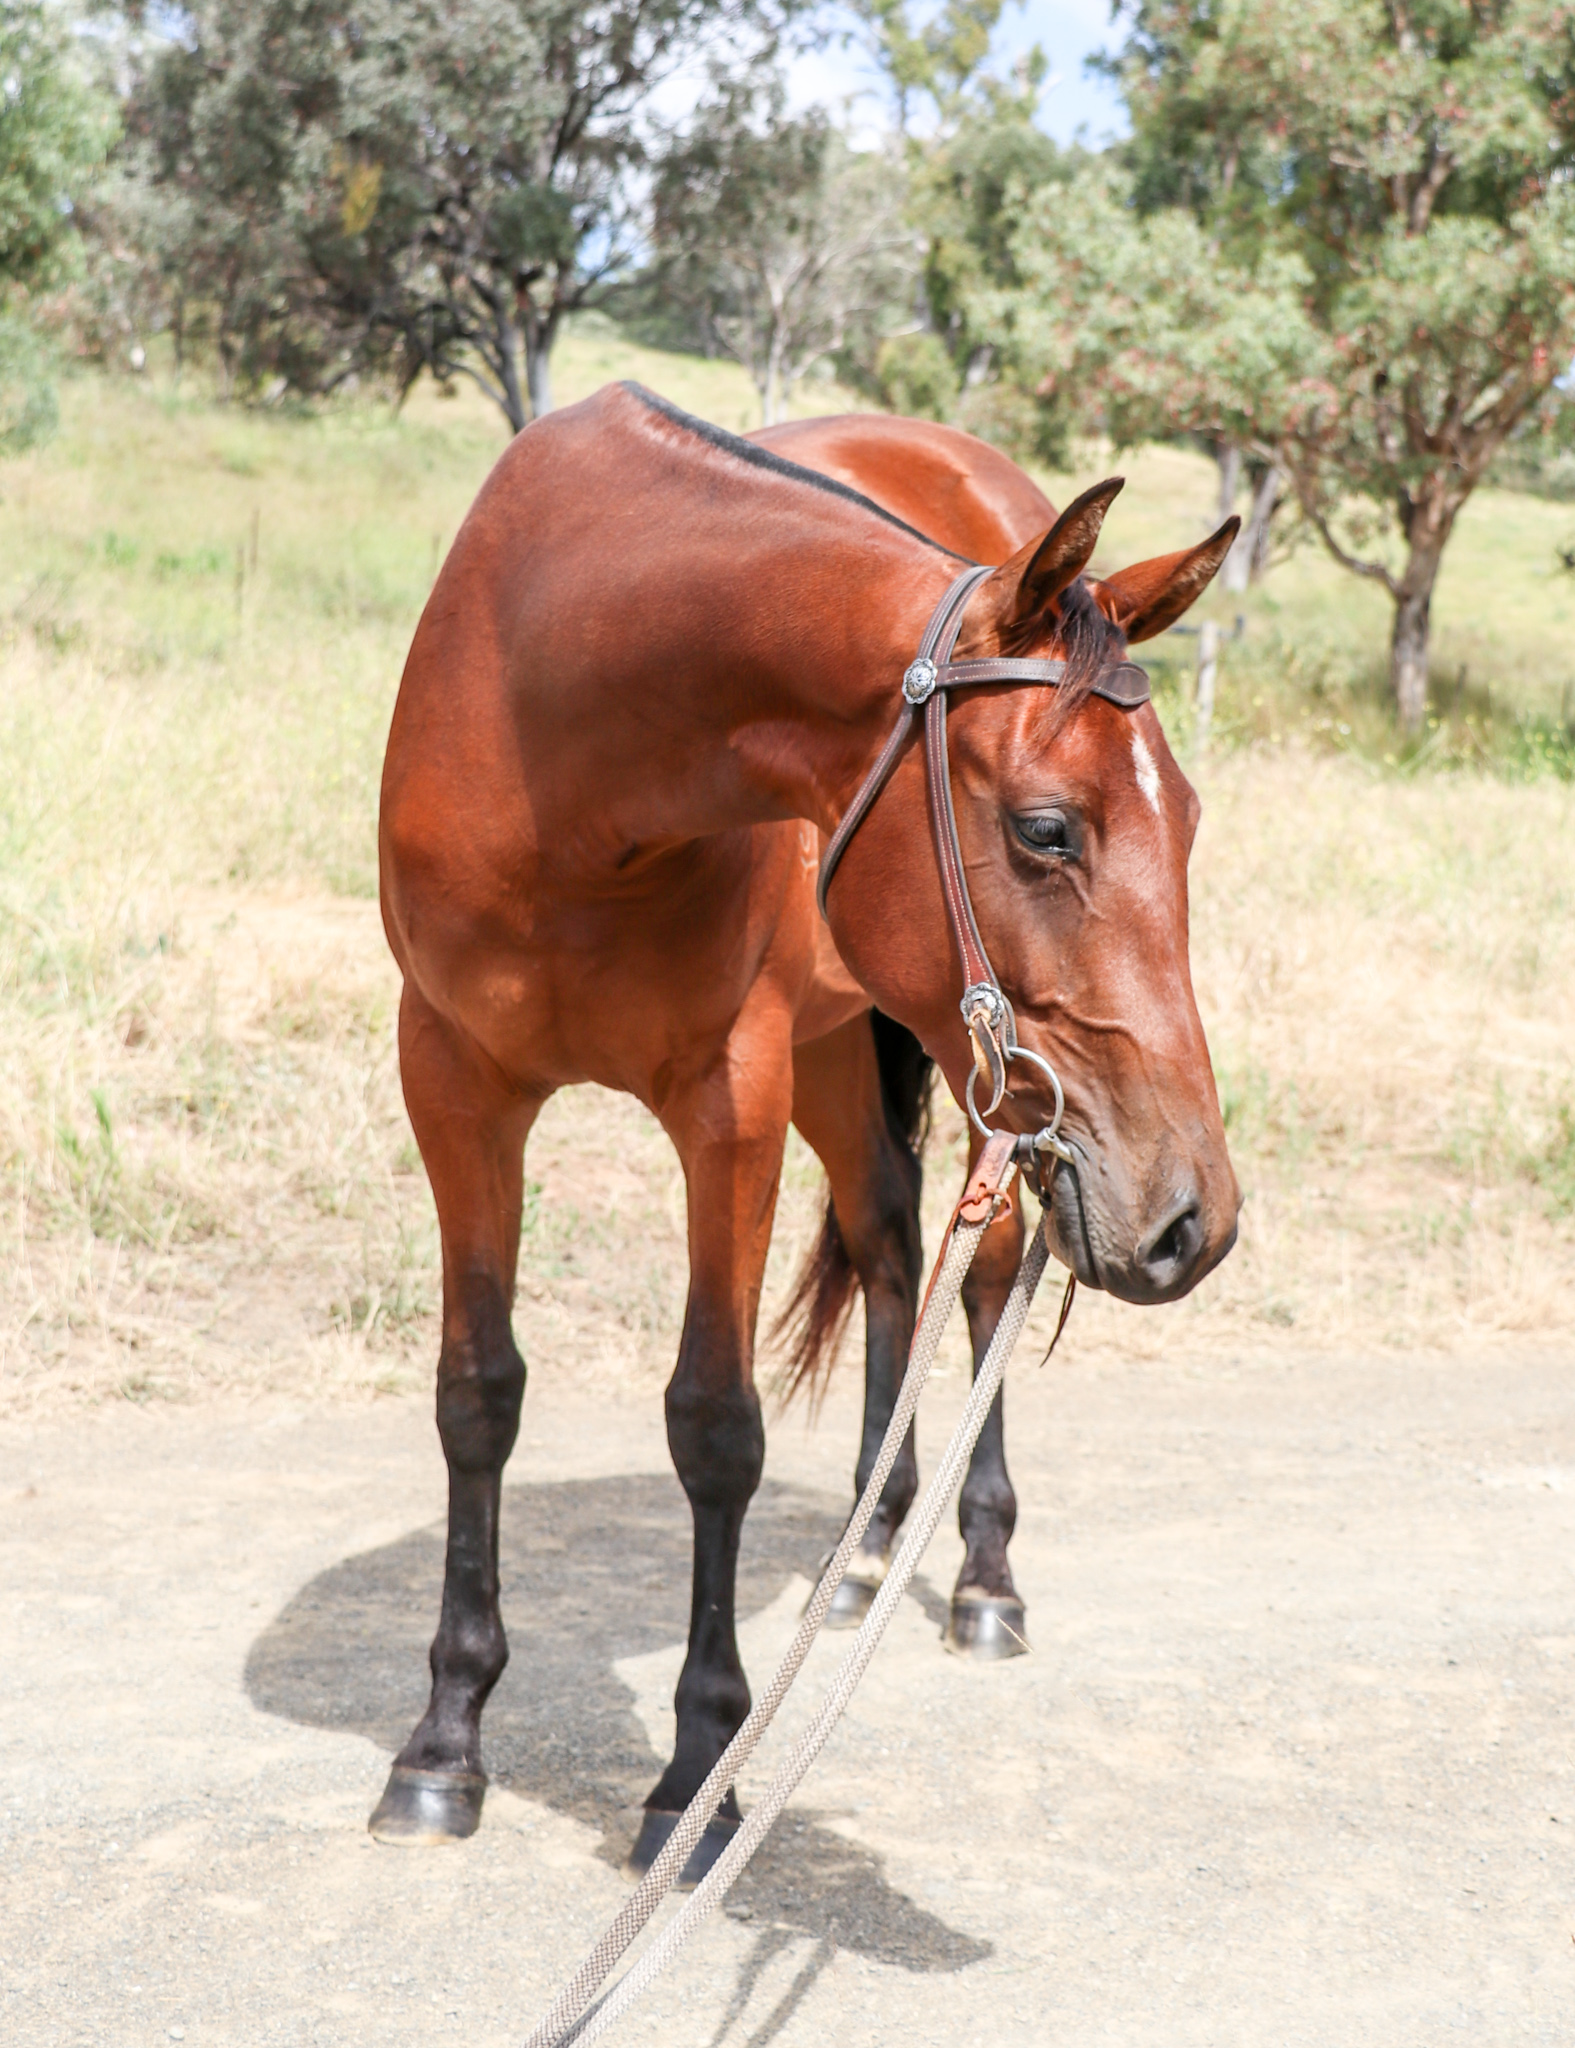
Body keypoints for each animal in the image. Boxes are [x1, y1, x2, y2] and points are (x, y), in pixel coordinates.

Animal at [372, 381, 1241, 1883]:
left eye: (1182, 821)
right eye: (1047, 830)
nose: (1197, 1217)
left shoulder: (730, 1104)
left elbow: (714, 1423)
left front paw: (696, 1775)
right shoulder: (455, 1084)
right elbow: (475, 1394)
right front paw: (443, 1741)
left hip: (958, 1084)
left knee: (978, 1275)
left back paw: (980, 1577)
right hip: (858, 1049)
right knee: (889, 1245)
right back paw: (868, 1544)